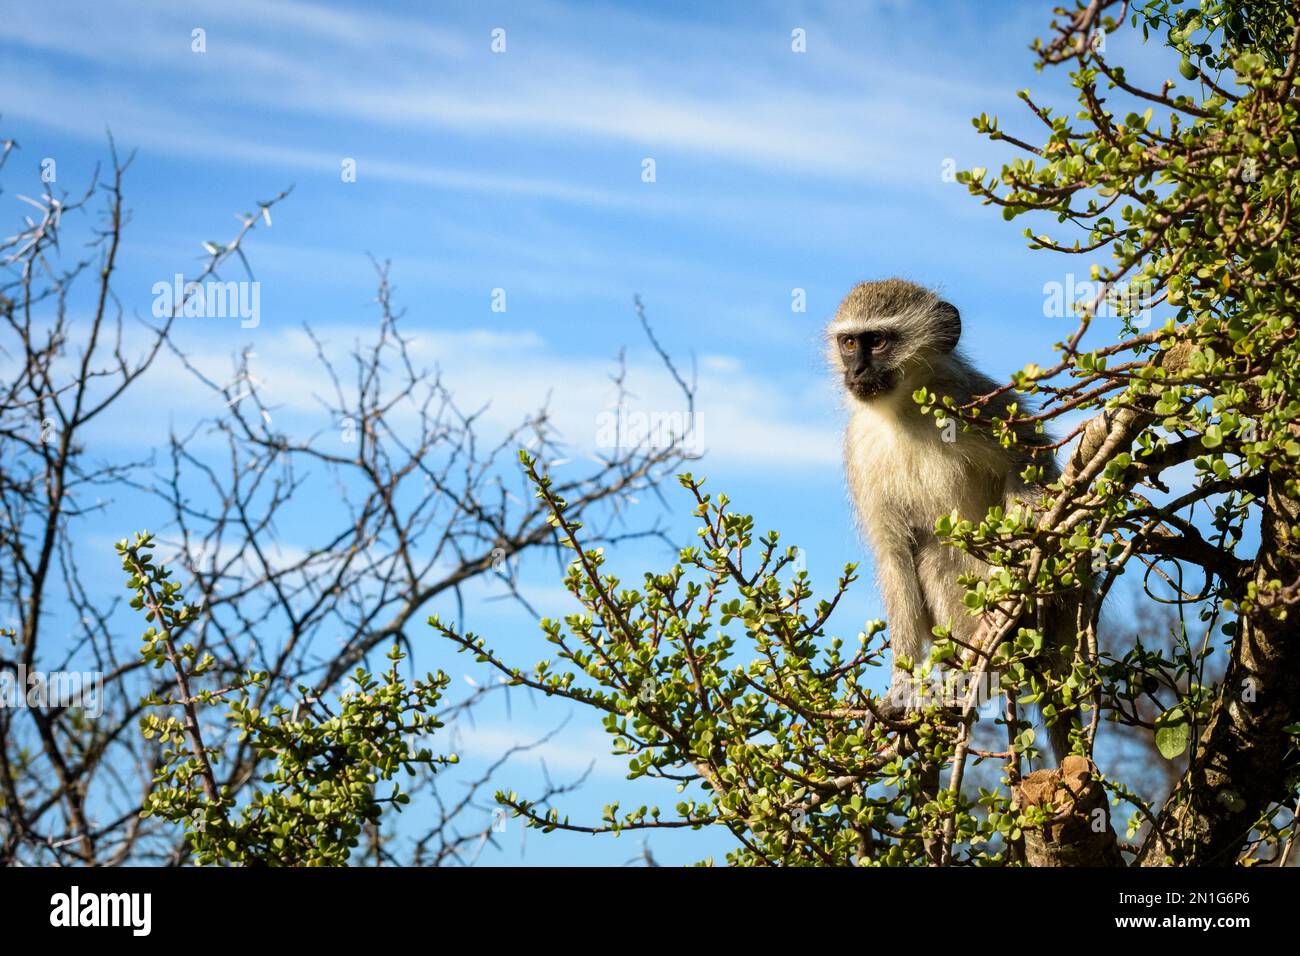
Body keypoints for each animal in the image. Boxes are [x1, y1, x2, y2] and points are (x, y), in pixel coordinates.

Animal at [827, 278, 1079, 762]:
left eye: (878, 341)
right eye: (849, 343)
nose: (857, 372)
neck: (902, 412)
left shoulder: (972, 402)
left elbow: (1029, 464)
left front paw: (1016, 573)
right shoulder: (859, 448)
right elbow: (893, 553)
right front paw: (901, 688)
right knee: (931, 552)